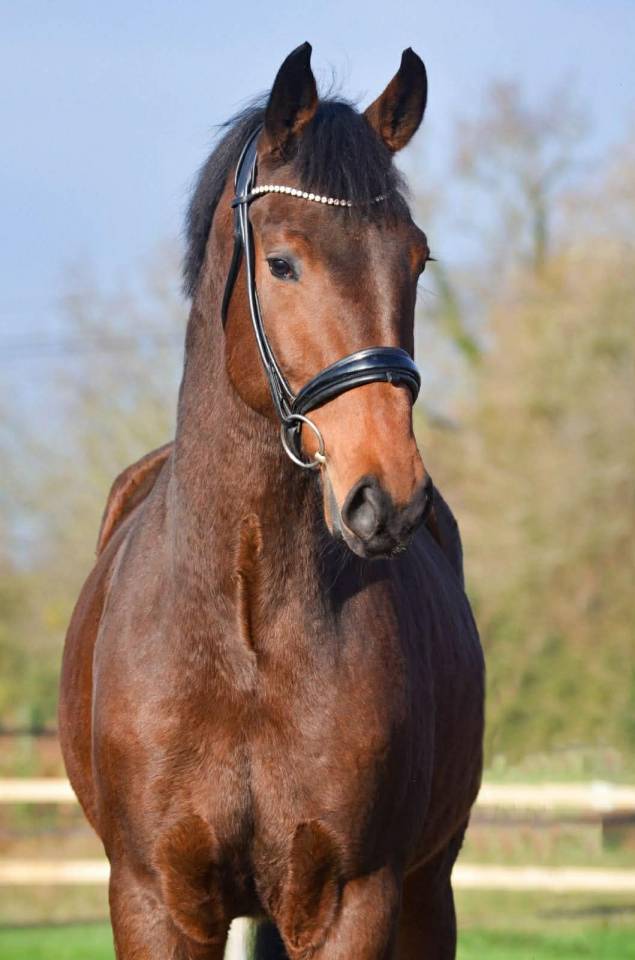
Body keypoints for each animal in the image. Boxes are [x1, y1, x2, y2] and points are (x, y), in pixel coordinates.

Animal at [59, 43, 484, 960]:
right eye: (282, 261)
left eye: (416, 259)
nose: (387, 496)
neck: (243, 630)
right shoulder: (153, 900)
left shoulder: (352, 900)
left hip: (429, 889)